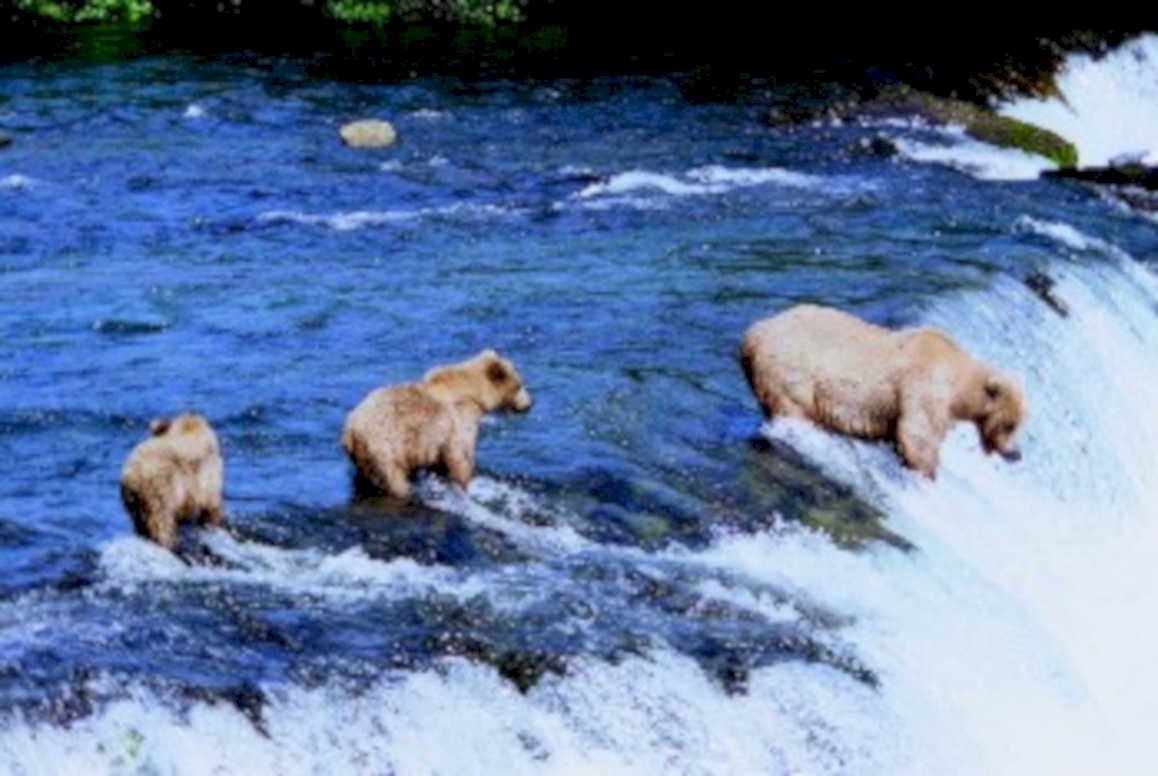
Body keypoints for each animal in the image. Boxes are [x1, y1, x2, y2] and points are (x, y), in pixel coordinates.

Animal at [120, 413, 225, 550]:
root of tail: (134, 474)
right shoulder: (206, 476)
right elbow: (211, 503)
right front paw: (211, 524)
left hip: (133, 500)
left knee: (139, 521)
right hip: (160, 490)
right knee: (161, 522)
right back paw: (169, 543)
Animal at [341, 349, 532, 499]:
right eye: (519, 385)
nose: (529, 405)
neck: (475, 394)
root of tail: (350, 430)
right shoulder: (457, 421)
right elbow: (460, 456)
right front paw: (465, 484)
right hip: (385, 447)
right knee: (393, 478)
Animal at [740, 304, 1026, 479]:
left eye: (1019, 423)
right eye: (1009, 424)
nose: (1015, 454)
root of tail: (751, 335)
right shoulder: (923, 384)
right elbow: (918, 432)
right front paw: (927, 472)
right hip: (791, 371)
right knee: (794, 406)